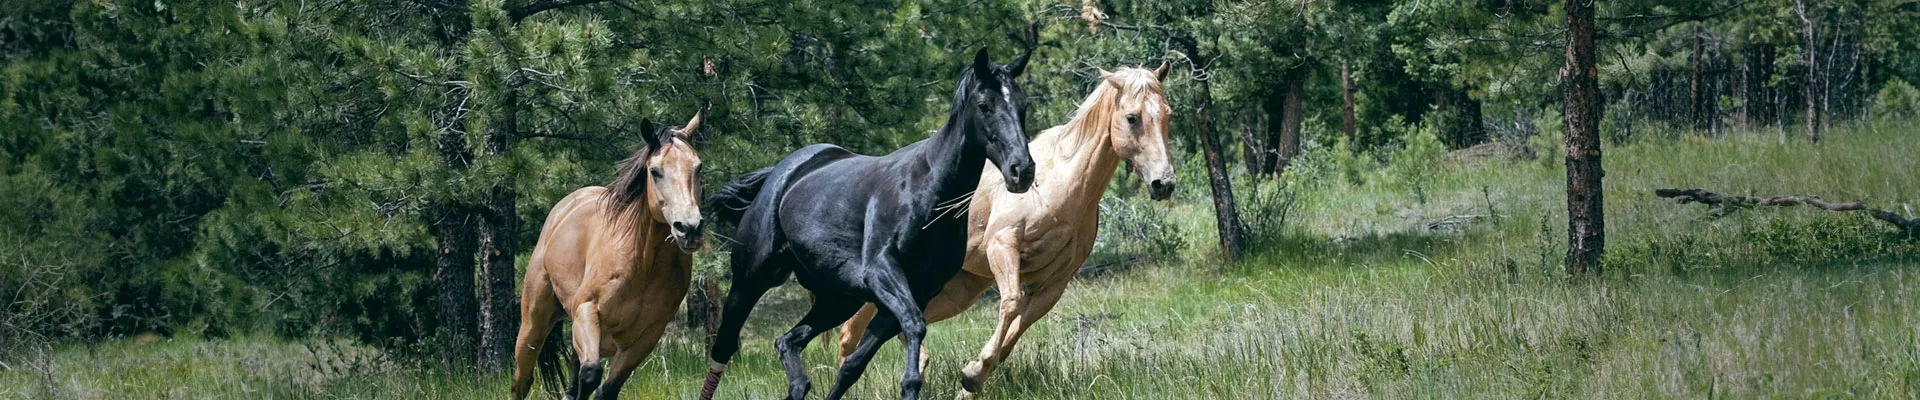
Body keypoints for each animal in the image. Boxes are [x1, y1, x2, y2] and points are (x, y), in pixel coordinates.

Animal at [509, 110, 708, 400]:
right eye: (655, 171)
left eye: (698, 167)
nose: (689, 228)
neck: (642, 264)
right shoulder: (586, 310)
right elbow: (591, 374)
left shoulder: (647, 336)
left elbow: (606, 388)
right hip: (533, 327)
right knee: (522, 381)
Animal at [697, 47, 1037, 400]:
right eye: (984, 105)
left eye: (1023, 105)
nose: (1022, 170)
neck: (927, 190)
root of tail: (780, 173)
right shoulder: (881, 271)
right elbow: (914, 326)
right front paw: (911, 385)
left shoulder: (913, 292)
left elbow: (853, 365)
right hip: (749, 281)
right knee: (723, 349)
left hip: (837, 300)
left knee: (787, 342)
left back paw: (799, 384)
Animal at [836, 63, 1177, 398]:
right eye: (1132, 117)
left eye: (1167, 113)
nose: (1164, 183)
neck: (1061, 183)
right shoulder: (1003, 247)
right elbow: (1011, 303)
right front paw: (973, 374)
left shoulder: (1054, 283)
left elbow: (1016, 331)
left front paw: (971, 380)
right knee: (850, 332)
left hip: (957, 290)